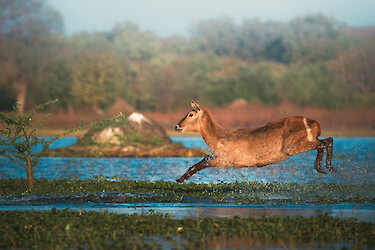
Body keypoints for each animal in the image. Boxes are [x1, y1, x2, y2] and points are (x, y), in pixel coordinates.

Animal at [175, 100, 336, 183]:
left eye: (190, 114)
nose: (177, 126)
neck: (220, 137)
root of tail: (312, 122)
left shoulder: (226, 159)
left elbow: (200, 164)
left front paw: (180, 179)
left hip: (294, 147)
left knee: (327, 141)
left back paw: (327, 167)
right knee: (325, 142)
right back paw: (323, 168)